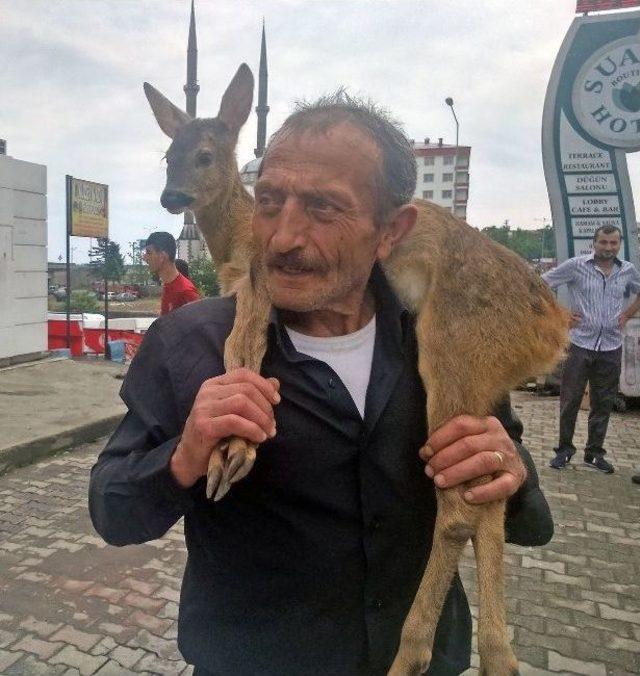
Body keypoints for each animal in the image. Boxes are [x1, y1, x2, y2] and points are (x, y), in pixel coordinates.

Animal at [144, 63, 564, 676]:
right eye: (166, 154)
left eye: (204, 154)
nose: (170, 195)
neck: (237, 239)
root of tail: (554, 332)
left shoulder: (259, 283)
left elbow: (240, 347)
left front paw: (233, 454)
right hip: (480, 384)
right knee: (487, 497)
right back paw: (497, 658)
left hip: (452, 349)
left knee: (458, 510)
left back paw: (409, 654)